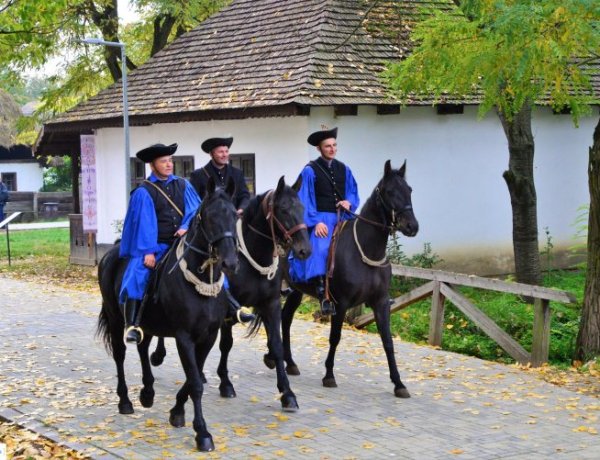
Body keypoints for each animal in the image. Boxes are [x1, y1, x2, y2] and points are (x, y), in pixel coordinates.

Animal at [97, 178, 238, 452]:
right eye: (210, 217)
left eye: (234, 216)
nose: (230, 263)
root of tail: (112, 252)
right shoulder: (184, 337)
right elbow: (195, 383)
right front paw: (202, 433)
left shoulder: (208, 336)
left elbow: (193, 377)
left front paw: (177, 412)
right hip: (116, 318)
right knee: (120, 355)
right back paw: (125, 401)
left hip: (148, 323)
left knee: (143, 349)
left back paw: (147, 393)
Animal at [150, 176, 312, 410]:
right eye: (282, 209)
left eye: (302, 208)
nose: (304, 250)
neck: (252, 258)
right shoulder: (227, 310)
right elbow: (226, 344)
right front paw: (225, 384)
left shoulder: (271, 304)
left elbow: (277, 344)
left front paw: (287, 393)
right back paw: (159, 355)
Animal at [276, 162, 418, 398]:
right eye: (390, 192)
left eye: (409, 190)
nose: (412, 226)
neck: (366, 250)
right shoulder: (340, 304)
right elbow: (335, 336)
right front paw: (329, 375)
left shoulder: (381, 303)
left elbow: (388, 341)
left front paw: (399, 383)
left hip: (296, 290)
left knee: (285, 318)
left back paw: (290, 363)